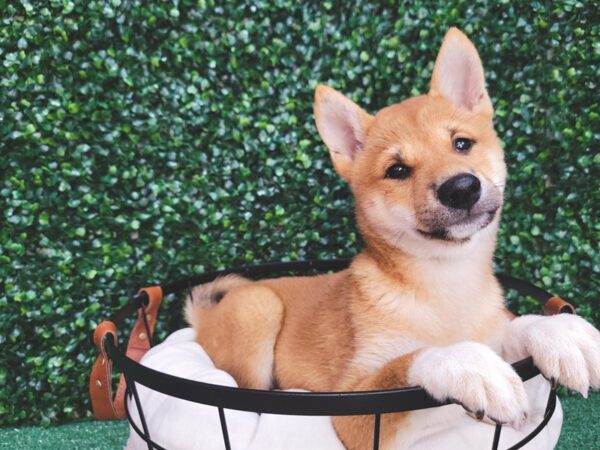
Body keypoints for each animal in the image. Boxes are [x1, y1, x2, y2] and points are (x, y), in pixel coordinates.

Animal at [186, 29, 600, 450]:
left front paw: (560, 333)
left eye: (462, 144)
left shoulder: (493, 327)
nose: (461, 188)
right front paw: (470, 364)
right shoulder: (354, 406)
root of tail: (203, 315)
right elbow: (410, 360)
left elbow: (515, 327)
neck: (447, 285)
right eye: (397, 170)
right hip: (258, 307)